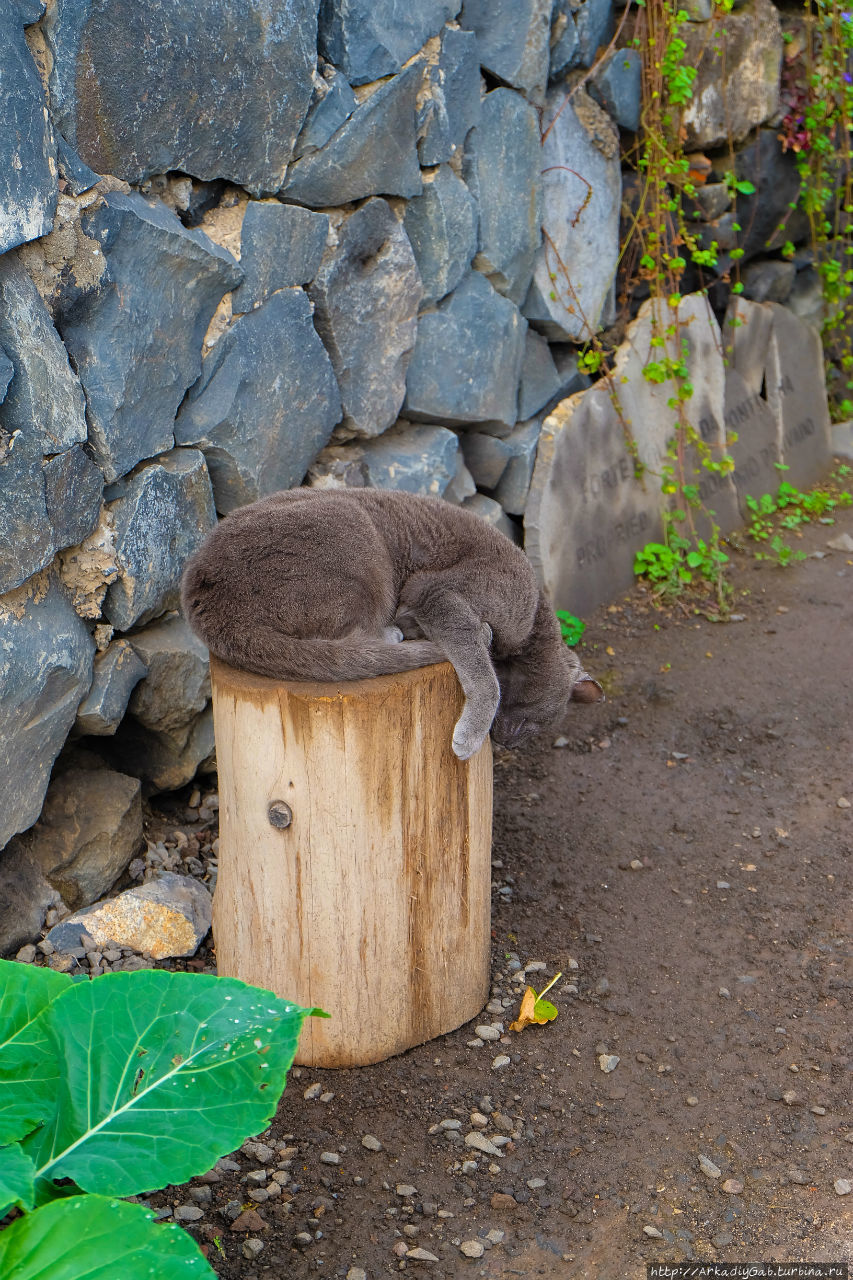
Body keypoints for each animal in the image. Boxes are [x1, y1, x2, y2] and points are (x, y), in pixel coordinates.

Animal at [179, 483, 596, 752]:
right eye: (533, 722)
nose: (508, 744)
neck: (534, 621)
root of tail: (207, 603)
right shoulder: (435, 592)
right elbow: (484, 675)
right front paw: (469, 738)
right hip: (353, 534)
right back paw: (396, 634)